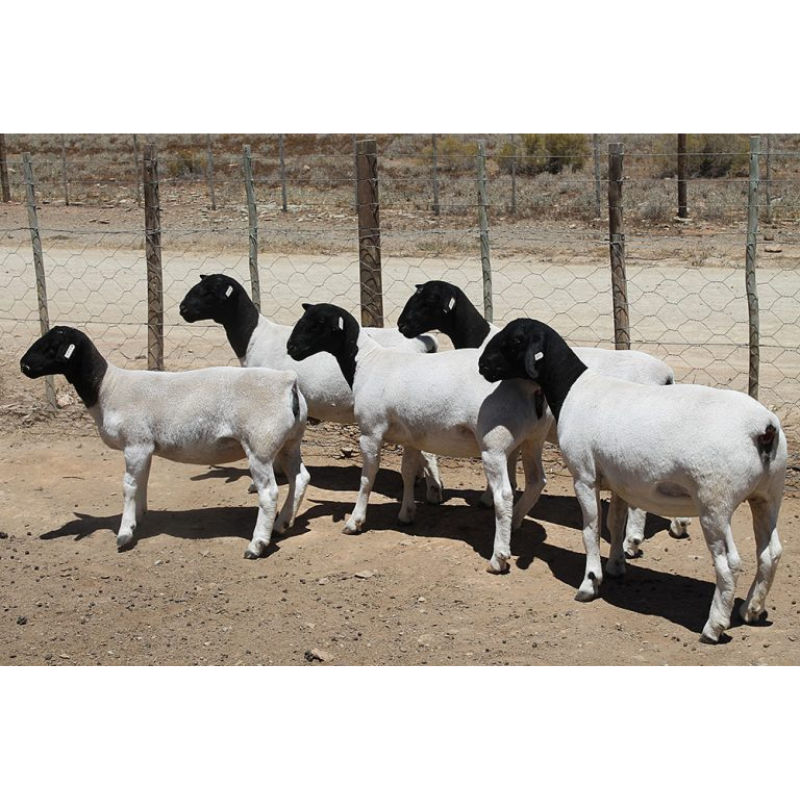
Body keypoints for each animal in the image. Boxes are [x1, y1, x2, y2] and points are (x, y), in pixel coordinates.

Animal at [20, 326, 310, 560]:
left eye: (53, 347)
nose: (23, 366)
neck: (107, 388)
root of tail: (287, 381)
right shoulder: (145, 447)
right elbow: (142, 482)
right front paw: (138, 518)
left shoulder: (135, 442)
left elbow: (129, 486)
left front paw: (124, 533)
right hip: (289, 443)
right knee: (300, 478)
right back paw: (282, 524)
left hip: (260, 446)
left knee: (269, 493)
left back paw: (257, 544)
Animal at [179, 274, 444, 503]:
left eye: (209, 291)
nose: (182, 310)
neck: (253, 337)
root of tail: (426, 343)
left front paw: (259, 482)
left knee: (429, 451)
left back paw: (433, 491)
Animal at [286, 302, 552, 575]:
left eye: (318, 323)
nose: (291, 348)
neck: (367, 363)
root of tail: (531, 388)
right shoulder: (411, 438)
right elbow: (406, 472)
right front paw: (407, 513)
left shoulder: (371, 431)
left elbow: (367, 479)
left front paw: (354, 522)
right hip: (533, 439)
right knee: (536, 481)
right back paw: (516, 522)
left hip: (493, 445)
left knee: (504, 495)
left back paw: (498, 557)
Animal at [397, 279, 692, 554]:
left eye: (428, 300)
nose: (401, 326)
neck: (480, 339)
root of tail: (667, 375)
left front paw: (487, 499)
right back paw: (679, 525)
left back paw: (632, 541)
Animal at [478, 318, 787, 643]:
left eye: (514, 340)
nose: (482, 365)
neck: (574, 389)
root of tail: (764, 429)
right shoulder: (619, 482)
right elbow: (614, 524)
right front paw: (616, 565)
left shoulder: (584, 476)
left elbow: (590, 530)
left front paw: (590, 583)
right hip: (768, 495)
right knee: (771, 553)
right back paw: (751, 610)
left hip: (715, 503)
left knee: (730, 563)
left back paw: (714, 627)